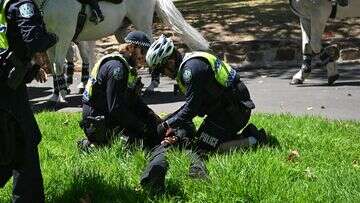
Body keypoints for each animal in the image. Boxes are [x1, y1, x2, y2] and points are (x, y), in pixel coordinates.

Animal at [34, 0, 208, 102]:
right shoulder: (52, 39)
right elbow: (55, 65)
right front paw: (55, 94)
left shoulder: (65, 35)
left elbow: (58, 64)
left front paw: (63, 94)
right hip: (122, 31)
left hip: (142, 23)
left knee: (151, 49)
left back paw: (152, 84)